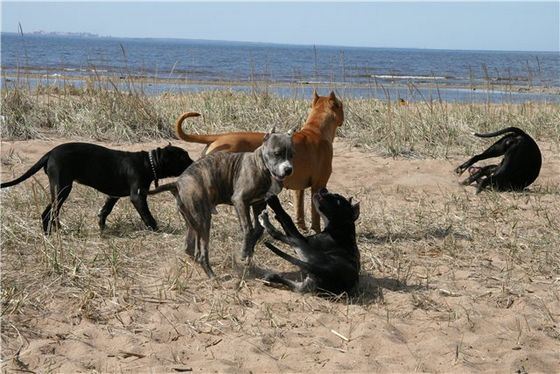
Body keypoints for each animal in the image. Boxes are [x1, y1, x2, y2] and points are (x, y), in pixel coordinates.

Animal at [0, 142, 192, 232]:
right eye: (183, 157)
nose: (194, 163)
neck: (148, 163)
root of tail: (49, 153)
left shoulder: (113, 195)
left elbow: (105, 210)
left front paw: (102, 225)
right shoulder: (137, 196)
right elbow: (147, 215)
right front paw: (156, 229)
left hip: (60, 189)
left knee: (53, 211)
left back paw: (58, 229)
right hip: (62, 187)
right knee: (48, 212)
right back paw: (49, 233)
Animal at [151, 129, 296, 278]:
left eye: (292, 155)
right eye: (277, 153)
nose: (288, 169)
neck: (260, 165)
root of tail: (177, 183)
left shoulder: (258, 204)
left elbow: (258, 230)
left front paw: (249, 252)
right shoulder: (239, 200)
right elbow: (248, 229)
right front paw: (244, 252)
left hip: (192, 222)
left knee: (189, 248)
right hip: (204, 220)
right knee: (201, 253)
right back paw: (212, 275)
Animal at [175, 91, 344, 231]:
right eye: (341, 105)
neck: (316, 130)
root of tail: (220, 137)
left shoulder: (299, 188)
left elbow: (299, 210)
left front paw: (302, 228)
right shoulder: (318, 186)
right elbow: (316, 214)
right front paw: (318, 230)